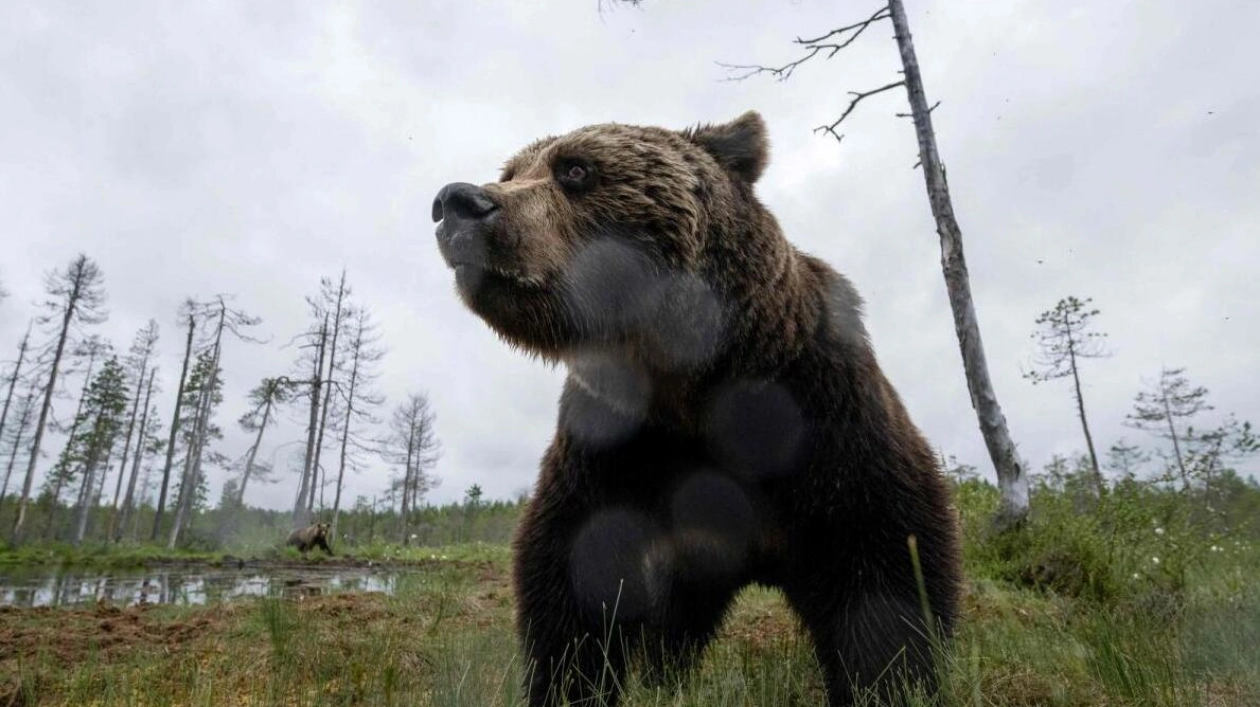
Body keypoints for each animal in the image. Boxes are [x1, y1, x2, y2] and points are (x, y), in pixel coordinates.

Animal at [433, 111, 962, 705]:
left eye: (575, 169)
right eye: (512, 170)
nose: (457, 201)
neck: (693, 382)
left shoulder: (827, 423)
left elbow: (886, 571)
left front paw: (892, 682)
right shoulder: (618, 442)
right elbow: (575, 575)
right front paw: (570, 683)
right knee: (674, 627)